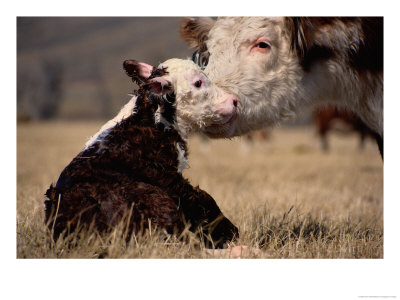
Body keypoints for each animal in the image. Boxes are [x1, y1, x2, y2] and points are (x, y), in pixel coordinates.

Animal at [44, 58, 238, 248]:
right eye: (198, 83)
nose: (234, 101)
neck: (150, 119)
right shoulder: (167, 178)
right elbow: (201, 199)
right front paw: (229, 234)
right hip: (155, 199)